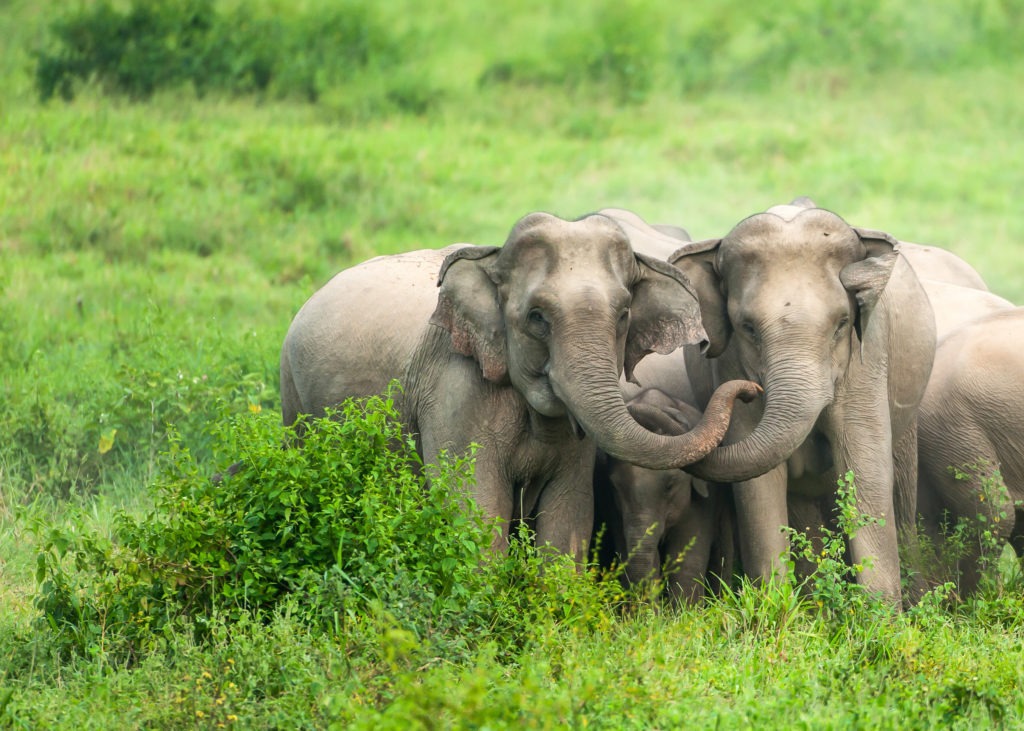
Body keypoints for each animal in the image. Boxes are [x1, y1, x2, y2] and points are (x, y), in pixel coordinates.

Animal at [280, 210, 761, 556]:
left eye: (624, 315)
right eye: (537, 318)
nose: (751, 390)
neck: (491, 260)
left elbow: (568, 515)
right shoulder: (454, 392)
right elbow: (475, 507)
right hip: (291, 394)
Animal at [667, 199, 937, 602]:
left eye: (842, 323)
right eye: (747, 328)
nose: (747, 391)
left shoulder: (868, 358)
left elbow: (866, 465)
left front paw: (879, 614)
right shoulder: (731, 361)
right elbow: (758, 482)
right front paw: (774, 607)